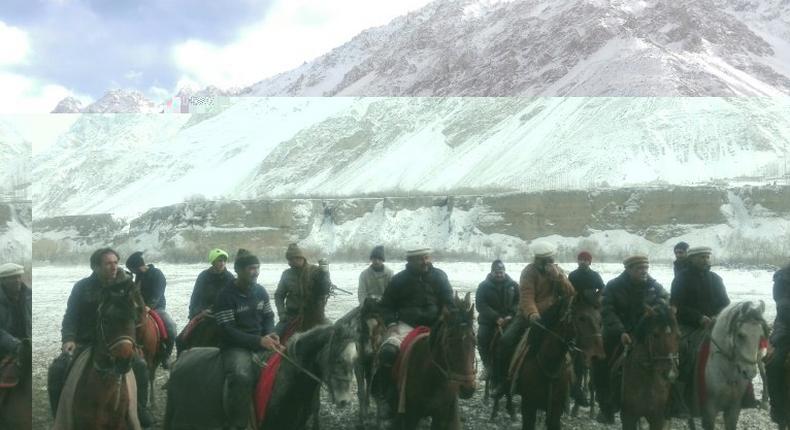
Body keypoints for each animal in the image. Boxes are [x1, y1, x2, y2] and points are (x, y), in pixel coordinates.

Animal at [384, 292, 476, 430]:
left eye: (475, 341)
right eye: (449, 342)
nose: (468, 388)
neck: (431, 378)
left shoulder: (440, 415)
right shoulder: (411, 415)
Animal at [516, 292, 604, 430]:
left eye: (600, 321)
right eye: (582, 318)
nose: (597, 356)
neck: (550, 365)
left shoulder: (556, 409)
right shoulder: (528, 406)